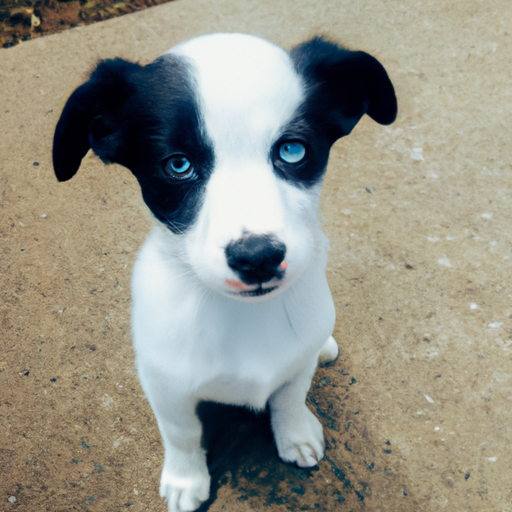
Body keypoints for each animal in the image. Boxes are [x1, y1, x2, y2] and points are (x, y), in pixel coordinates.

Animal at [53, 34, 396, 510]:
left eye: (292, 150)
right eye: (178, 164)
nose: (259, 257)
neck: (243, 317)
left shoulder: (295, 363)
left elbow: (290, 395)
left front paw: (294, 432)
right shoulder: (165, 384)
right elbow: (182, 433)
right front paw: (186, 480)